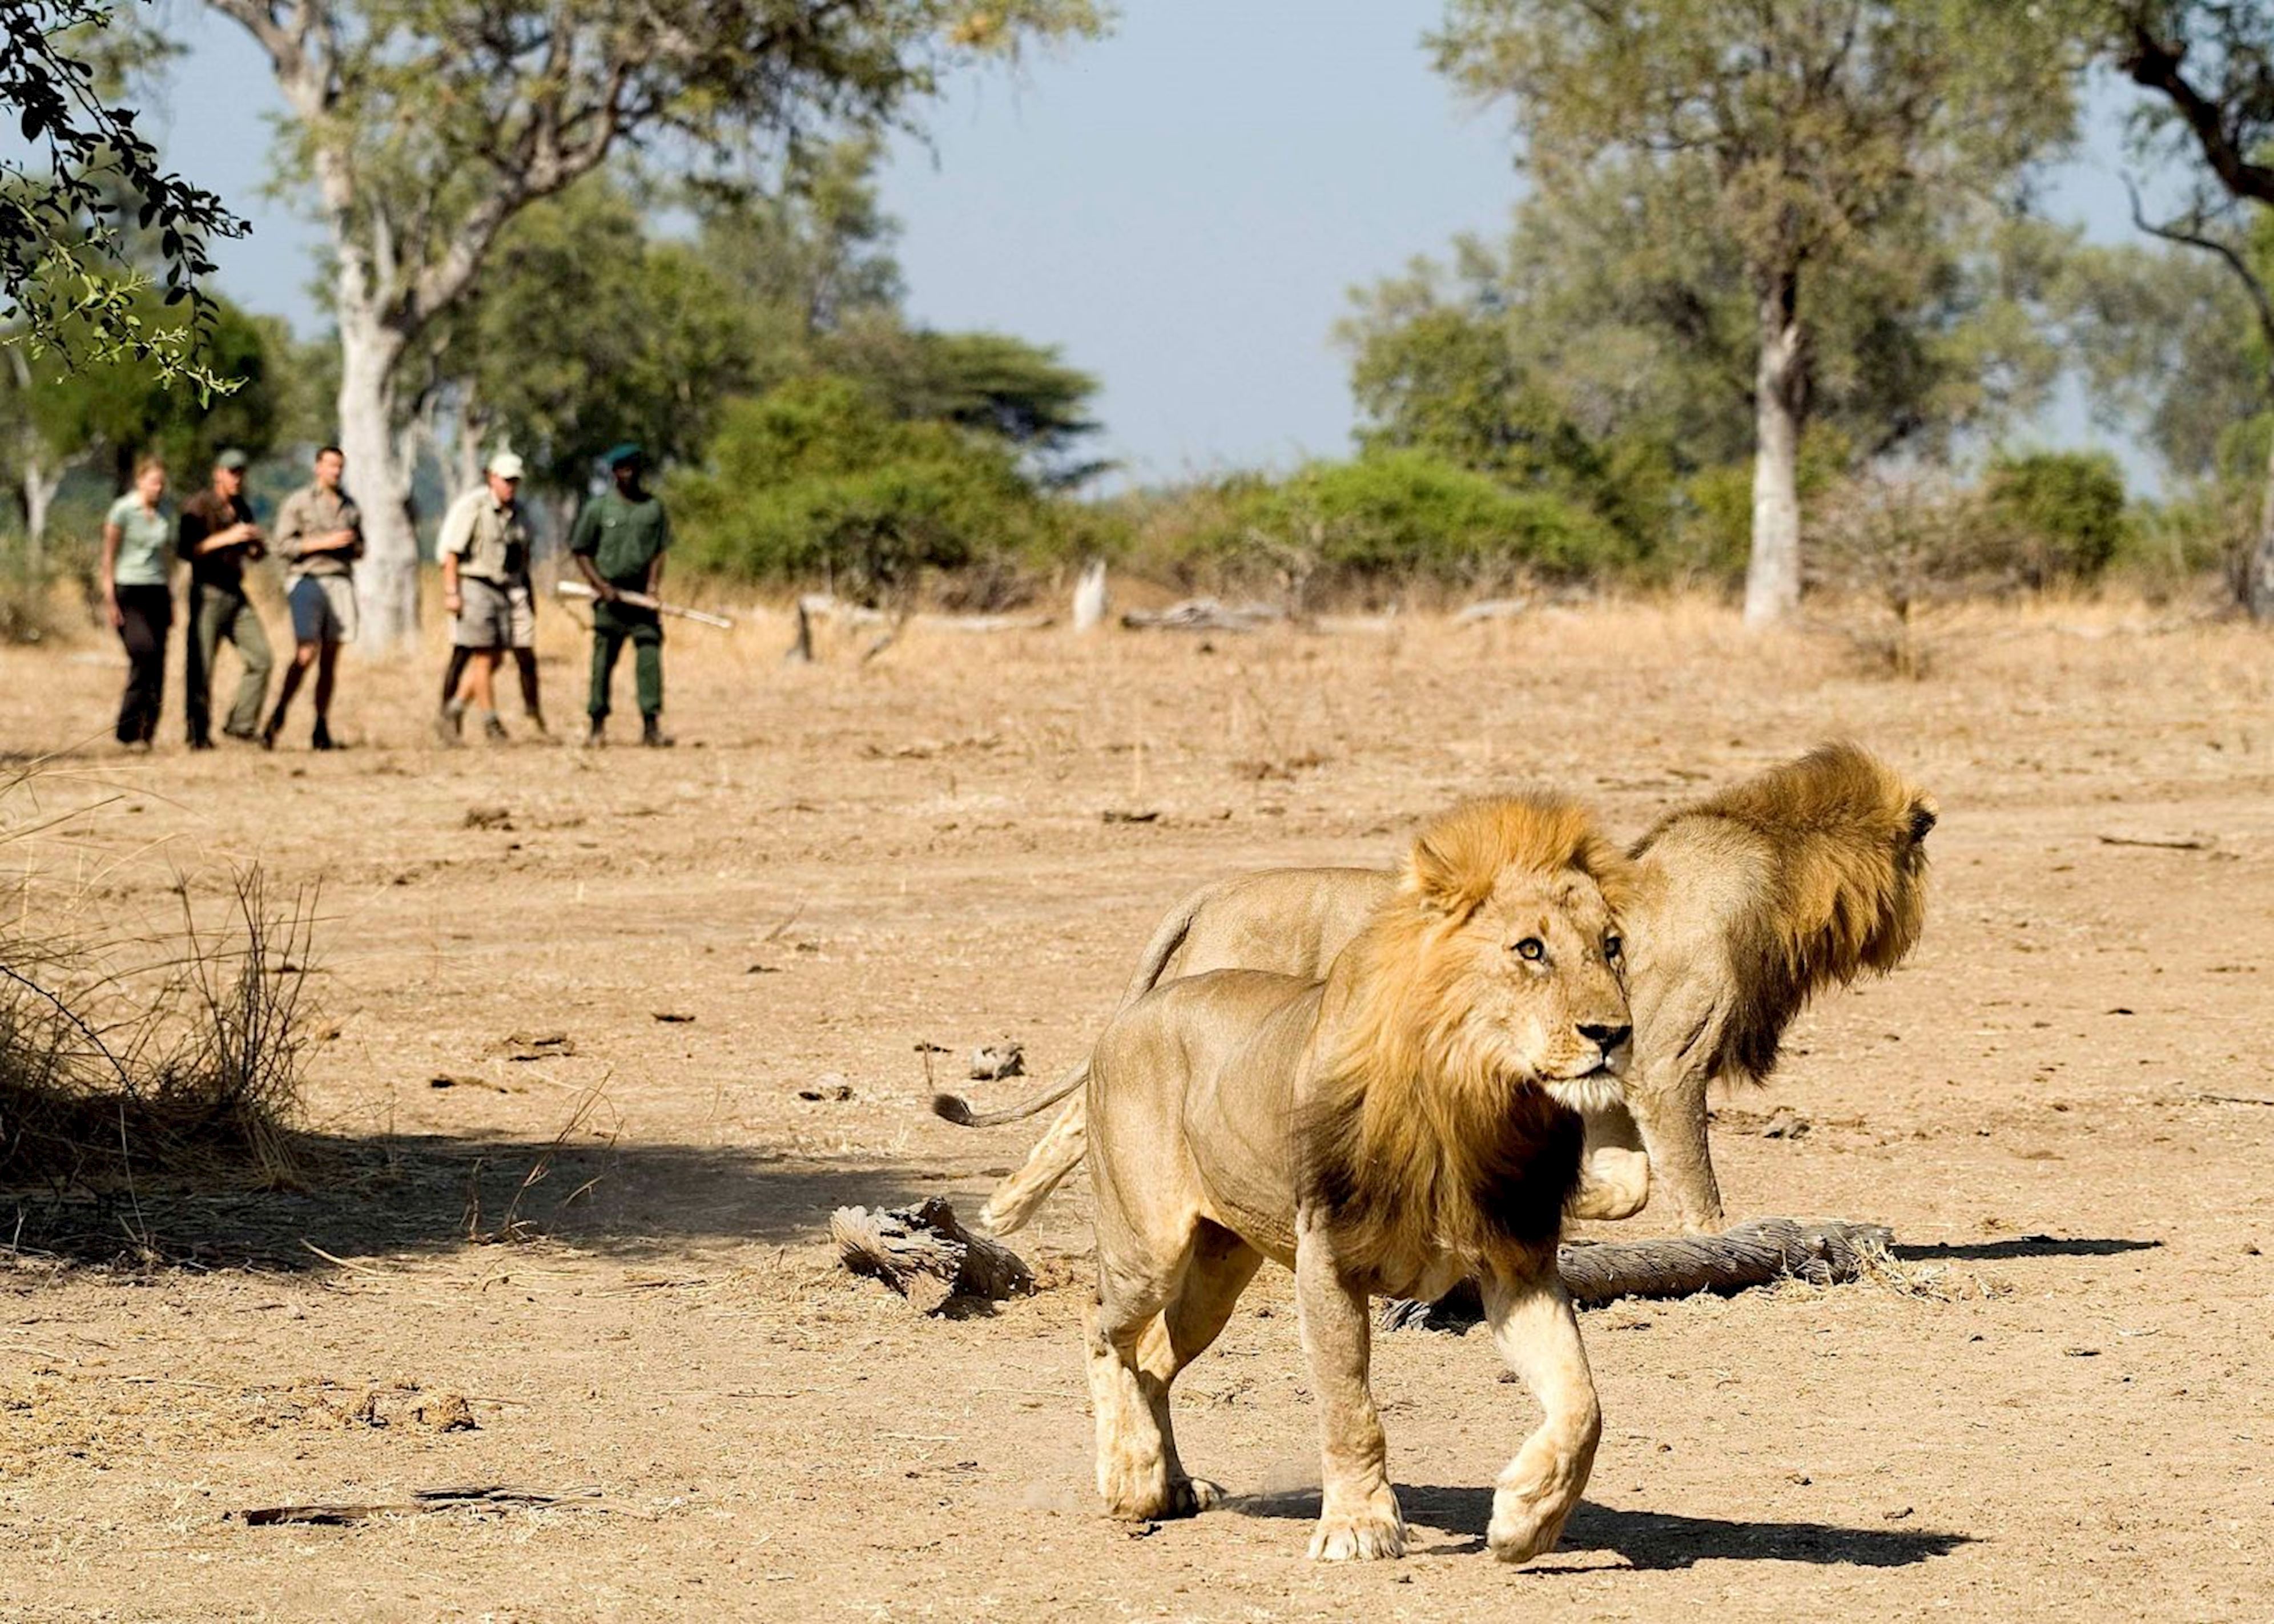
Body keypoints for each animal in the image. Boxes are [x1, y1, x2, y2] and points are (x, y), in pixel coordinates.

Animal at [941, 741, 1937, 1237]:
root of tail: (1215, 889)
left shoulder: (1607, 1072)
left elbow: (1625, 1183)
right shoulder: (1664, 1063)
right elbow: (1689, 1183)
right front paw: (1711, 1237)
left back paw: (1000, 1216)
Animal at [1077, 796, 1628, 1556]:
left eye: (1611, 946)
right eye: (1529, 949)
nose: (1613, 1034)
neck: (1471, 1097)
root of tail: (1130, 1014)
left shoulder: (1517, 1263)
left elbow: (1582, 1401)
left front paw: (1528, 1516)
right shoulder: (1327, 1258)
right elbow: (1349, 1407)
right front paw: (1359, 1525)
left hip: (1218, 1272)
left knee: (1155, 1357)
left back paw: (1172, 1483)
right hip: (1148, 1251)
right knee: (1105, 1333)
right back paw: (1130, 1478)